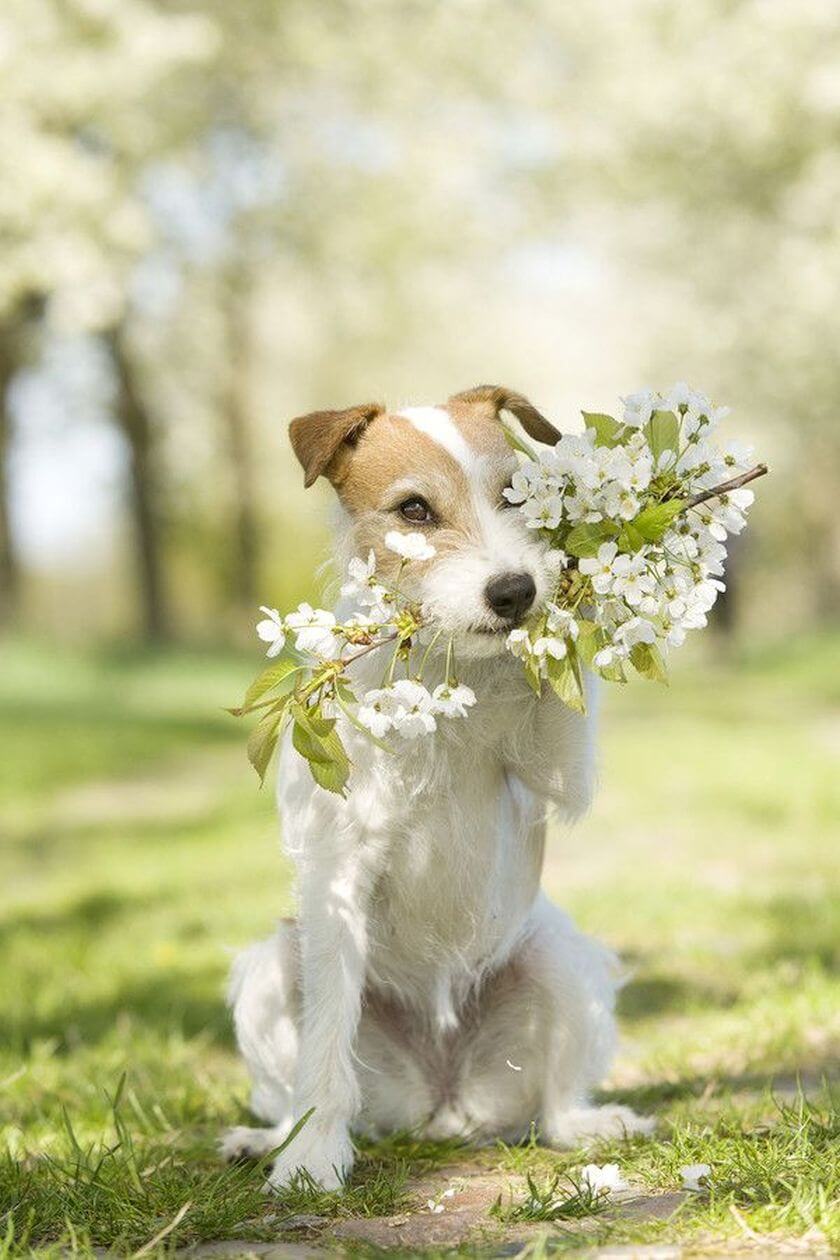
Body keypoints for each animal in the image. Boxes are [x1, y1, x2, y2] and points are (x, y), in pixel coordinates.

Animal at [221, 385, 649, 1189]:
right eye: (414, 510)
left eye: (515, 493)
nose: (516, 591)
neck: (437, 673)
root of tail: (444, 1105)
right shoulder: (339, 870)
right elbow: (325, 1049)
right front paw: (312, 1159)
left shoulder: (557, 772)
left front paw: (578, 590)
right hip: (274, 968)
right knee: (306, 1085)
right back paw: (271, 1139)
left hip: (555, 958)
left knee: (554, 1110)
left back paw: (589, 1123)